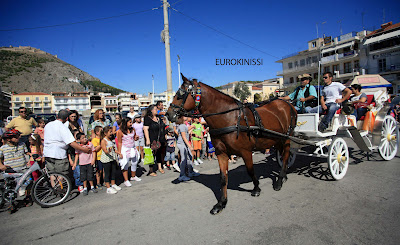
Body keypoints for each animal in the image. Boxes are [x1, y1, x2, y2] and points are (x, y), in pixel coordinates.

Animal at [166, 75, 296, 214]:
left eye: (180, 94)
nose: (168, 114)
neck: (229, 118)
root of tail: (288, 104)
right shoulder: (221, 153)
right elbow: (223, 178)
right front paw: (221, 203)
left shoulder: (246, 151)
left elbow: (250, 171)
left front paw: (256, 188)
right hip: (277, 139)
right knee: (282, 155)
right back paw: (283, 176)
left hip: (286, 138)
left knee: (286, 155)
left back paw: (280, 180)